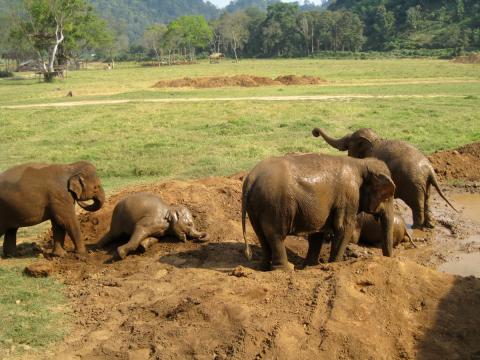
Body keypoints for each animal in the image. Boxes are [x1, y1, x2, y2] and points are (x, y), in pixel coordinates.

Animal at [242, 153, 396, 272]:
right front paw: (334, 264)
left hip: (256, 207)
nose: (388, 258)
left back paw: (263, 268)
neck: (361, 163)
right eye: (387, 196)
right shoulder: (349, 197)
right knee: (276, 235)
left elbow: (317, 233)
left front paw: (311, 266)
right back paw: (286, 269)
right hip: (275, 205)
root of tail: (251, 178)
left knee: (262, 234)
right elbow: (344, 228)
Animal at [312, 128, 458, 229]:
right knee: (427, 200)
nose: (315, 132)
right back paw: (430, 226)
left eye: (347, 144)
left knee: (417, 204)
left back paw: (416, 227)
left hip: (413, 185)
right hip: (425, 183)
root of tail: (430, 169)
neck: (376, 139)